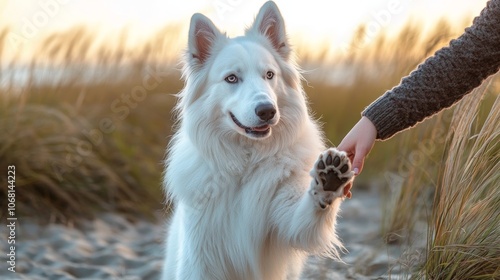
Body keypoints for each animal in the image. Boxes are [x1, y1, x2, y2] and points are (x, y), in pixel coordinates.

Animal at [162, 1, 354, 278]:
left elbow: (307, 214)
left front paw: (329, 180)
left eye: (269, 75)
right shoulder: (201, 256)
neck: (246, 162)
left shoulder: (289, 220)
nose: (267, 111)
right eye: (231, 78)